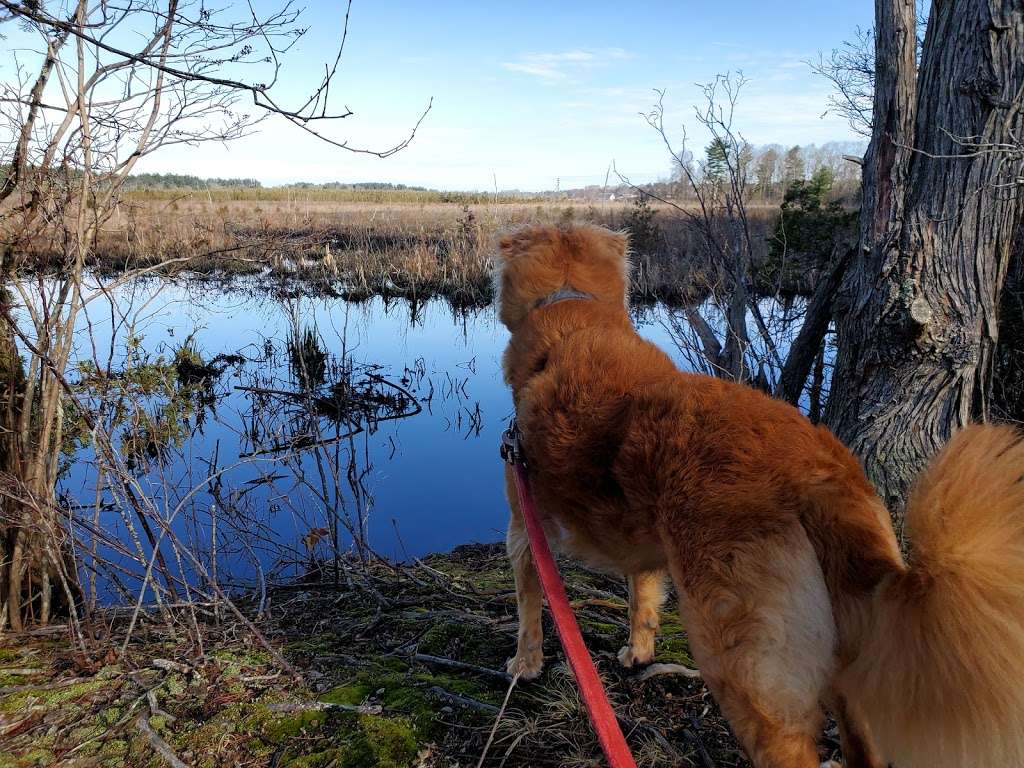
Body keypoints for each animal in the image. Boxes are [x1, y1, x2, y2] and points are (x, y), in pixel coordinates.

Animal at [499, 224, 1024, 768]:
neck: (571, 309)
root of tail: (815, 469)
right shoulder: (638, 545)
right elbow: (641, 598)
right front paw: (638, 653)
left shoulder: (523, 529)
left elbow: (530, 607)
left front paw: (525, 663)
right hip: (844, 648)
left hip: (744, 661)